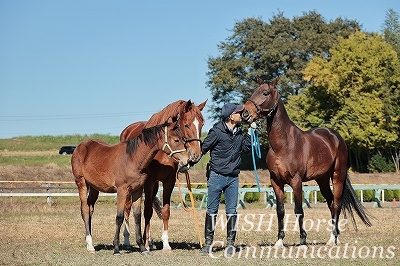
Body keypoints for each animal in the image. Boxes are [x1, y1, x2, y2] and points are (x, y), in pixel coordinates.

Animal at [72, 117, 191, 255]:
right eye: (176, 140)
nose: (187, 161)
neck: (132, 159)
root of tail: (80, 146)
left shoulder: (137, 191)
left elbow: (138, 216)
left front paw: (143, 247)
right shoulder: (122, 191)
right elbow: (119, 217)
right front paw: (116, 249)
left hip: (94, 188)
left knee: (90, 209)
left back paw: (89, 241)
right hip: (81, 183)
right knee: (85, 210)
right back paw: (90, 245)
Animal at [119, 98, 206, 252]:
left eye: (202, 124)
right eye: (186, 124)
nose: (196, 155)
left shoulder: (168, 181)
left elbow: (165, 211)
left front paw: (165, 243)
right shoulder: (149, 181)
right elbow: (147, 211)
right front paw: (146, 245)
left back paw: (150, 240)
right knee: (128, 208)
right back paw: (127, 239)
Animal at [241, 77, 372, 247]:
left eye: (265, 93)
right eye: (253, 91)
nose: (245, 113)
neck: (283, 144)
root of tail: (336, 137)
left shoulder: (296, 181)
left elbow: (298, 210)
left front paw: (303, 240)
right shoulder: (276, 181)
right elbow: (280, 211)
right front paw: (279, 241)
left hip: (338, 176)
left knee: (336, 204)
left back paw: (332, 239)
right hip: (322, 180)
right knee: (331, 203)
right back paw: (335, 236)